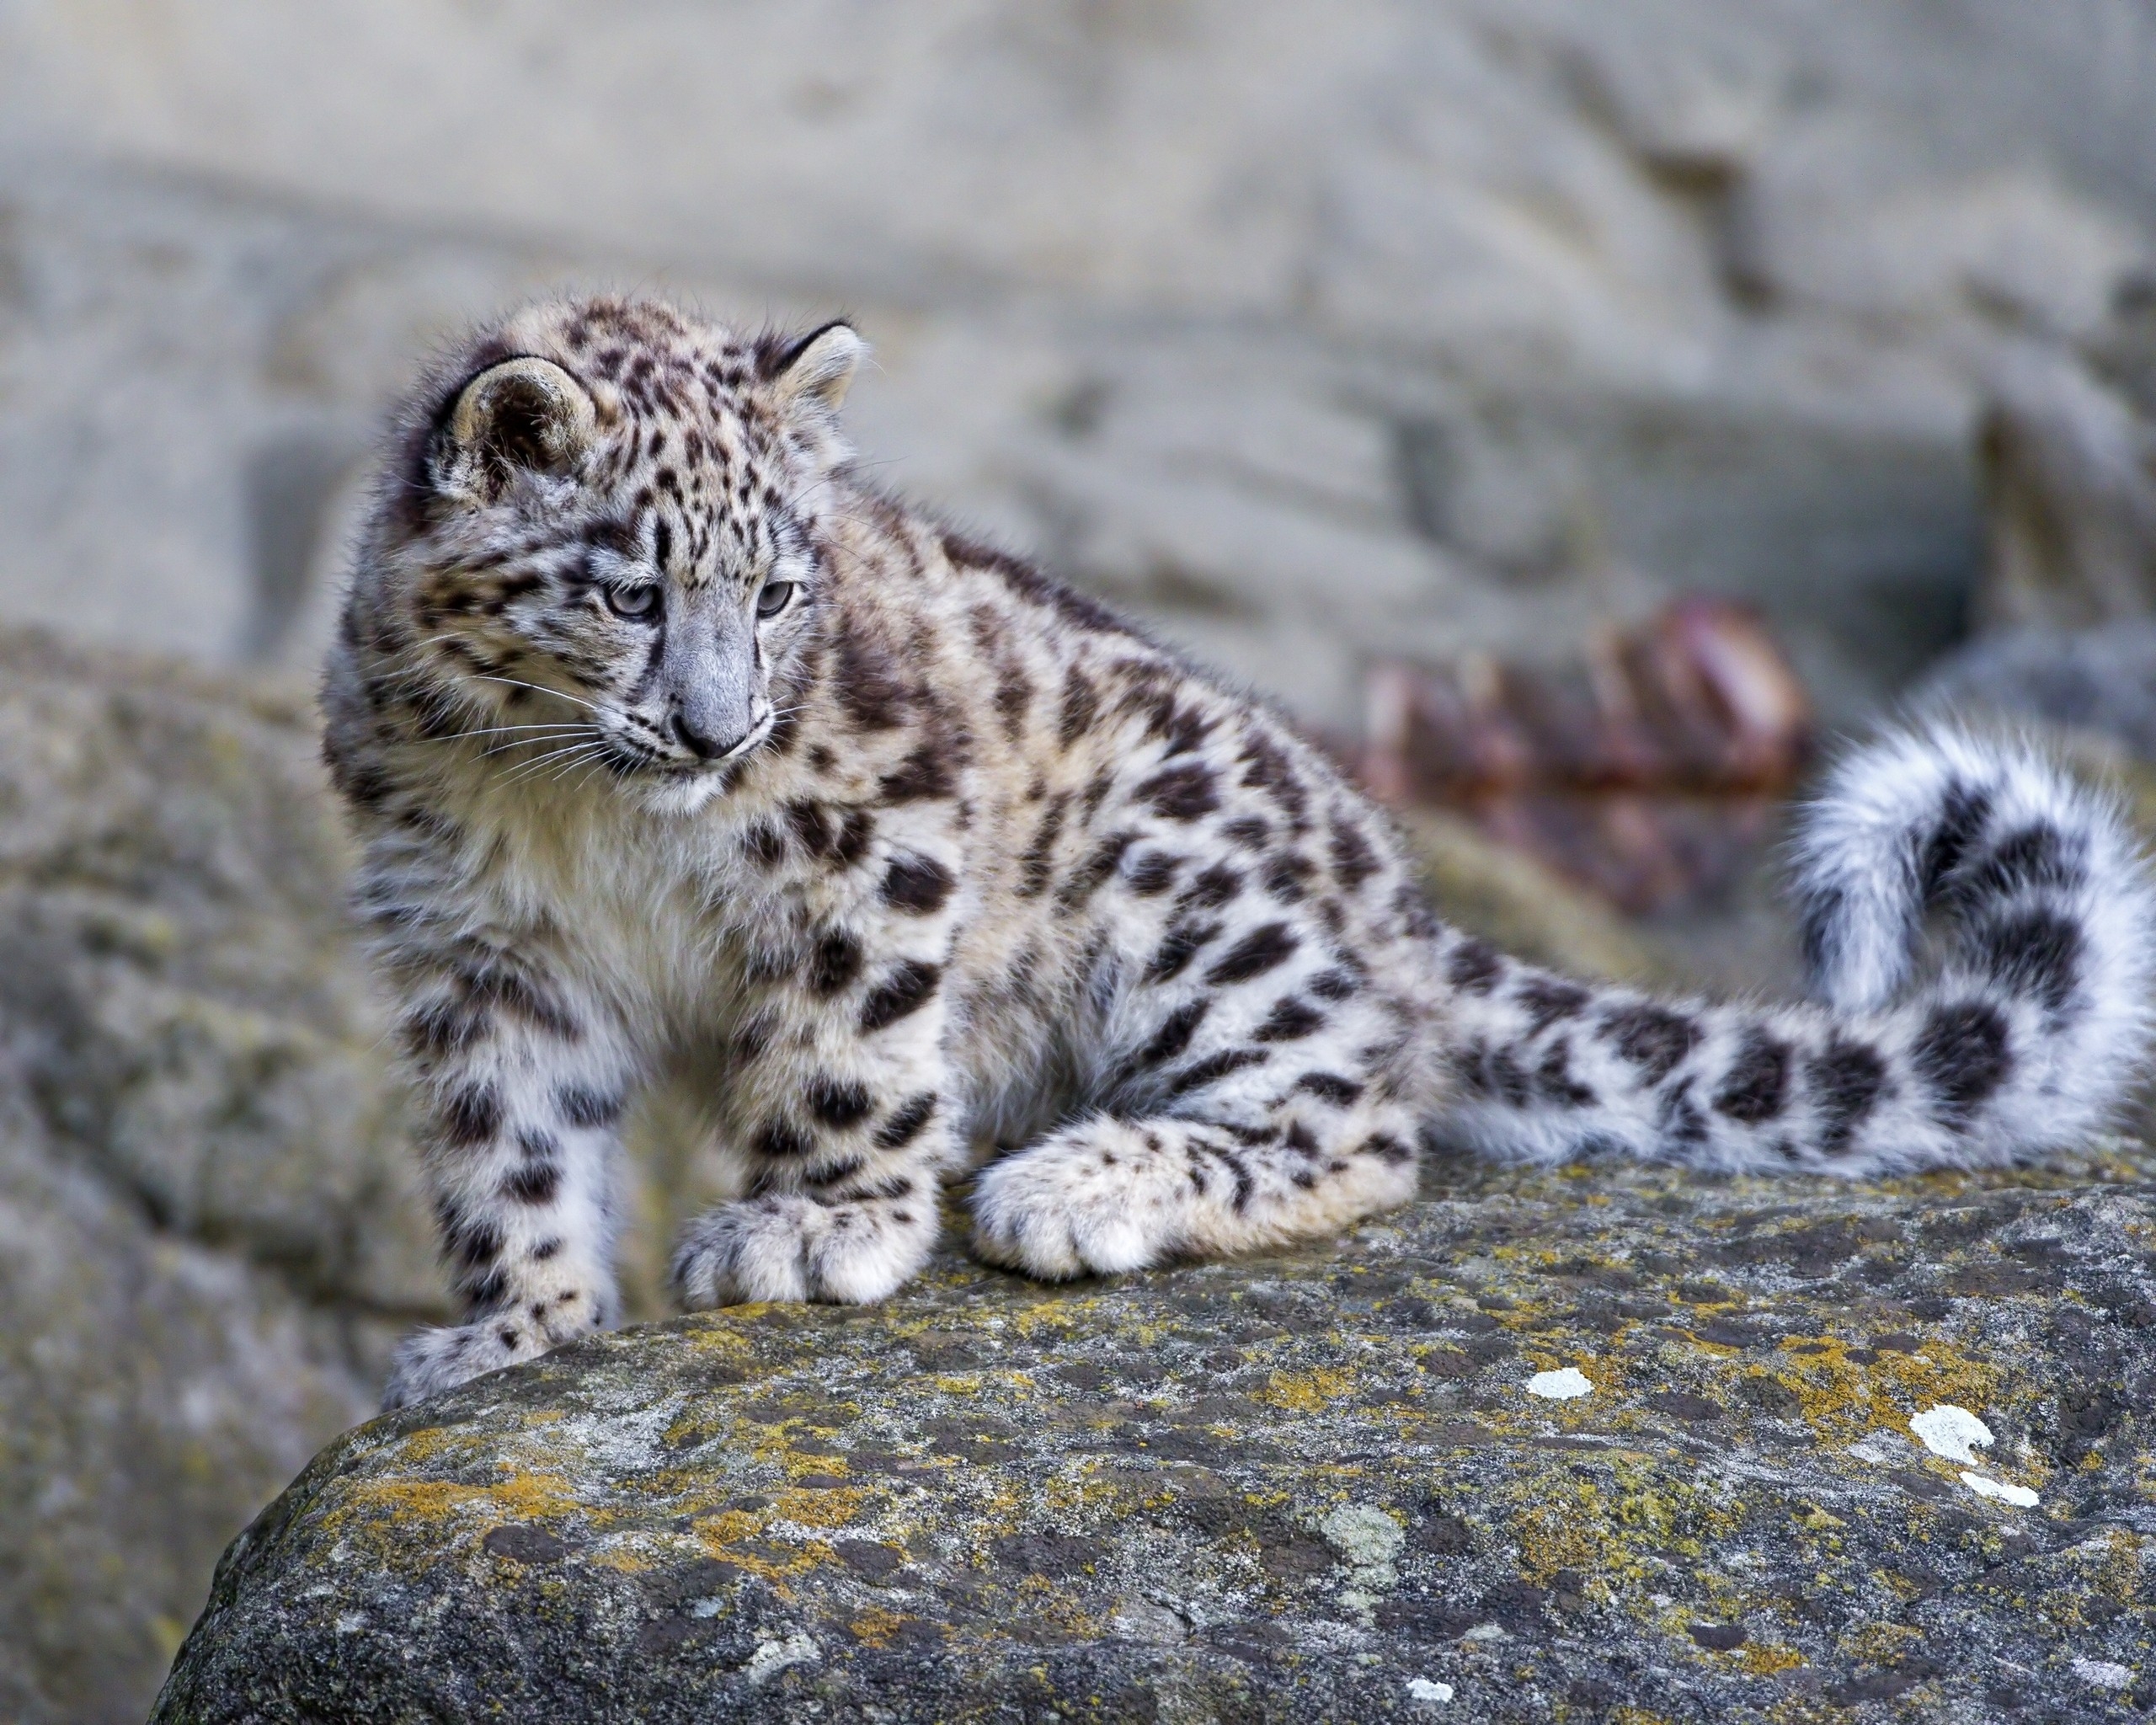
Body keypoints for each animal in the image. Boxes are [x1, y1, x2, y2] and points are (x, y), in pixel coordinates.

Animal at [328, 293, 2156, 1397]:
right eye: (633, 592)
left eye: (776, 590)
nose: (719, 732)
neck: (584, 812)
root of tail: (1399, 902)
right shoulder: (475, 950)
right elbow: (508, 1146)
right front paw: (513, 1326)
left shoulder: (873, 835)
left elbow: (844, 1049)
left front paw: (812, 1223)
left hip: (1182, 887)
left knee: (1354, 1121)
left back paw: (1072, 1182)